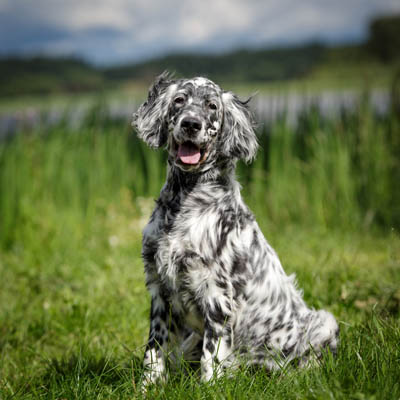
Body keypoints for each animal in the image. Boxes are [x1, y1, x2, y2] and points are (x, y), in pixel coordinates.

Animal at [133, 73, 340, 386]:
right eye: (179, 100)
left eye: (212, 106)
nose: (191, 124)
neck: (184, 202)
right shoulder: (159, 289)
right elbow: (153, 352)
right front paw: (148, 388)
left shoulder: (215, 294)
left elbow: (211, 358)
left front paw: (208, 388)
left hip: (324, 321)